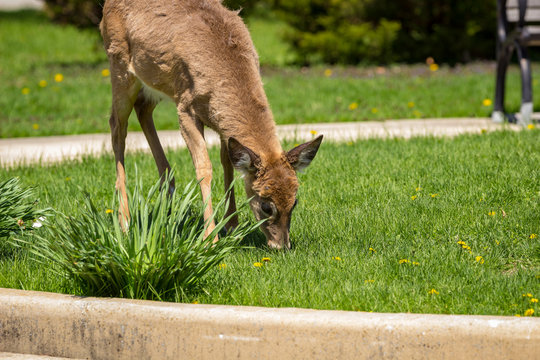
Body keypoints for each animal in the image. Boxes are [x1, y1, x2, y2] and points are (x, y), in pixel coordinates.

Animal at [99, 0, 322, 250]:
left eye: (294, 202)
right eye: (266, 205)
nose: (282, 246)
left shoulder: (222, 123)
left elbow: (228, 163)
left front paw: (232, 225)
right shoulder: (186, 108)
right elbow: (204, 167)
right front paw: (210, 238)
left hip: (154, 81)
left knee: (143, 109)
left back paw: (168, 199)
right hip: (119, 66)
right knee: (117, 126)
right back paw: (125, 222)